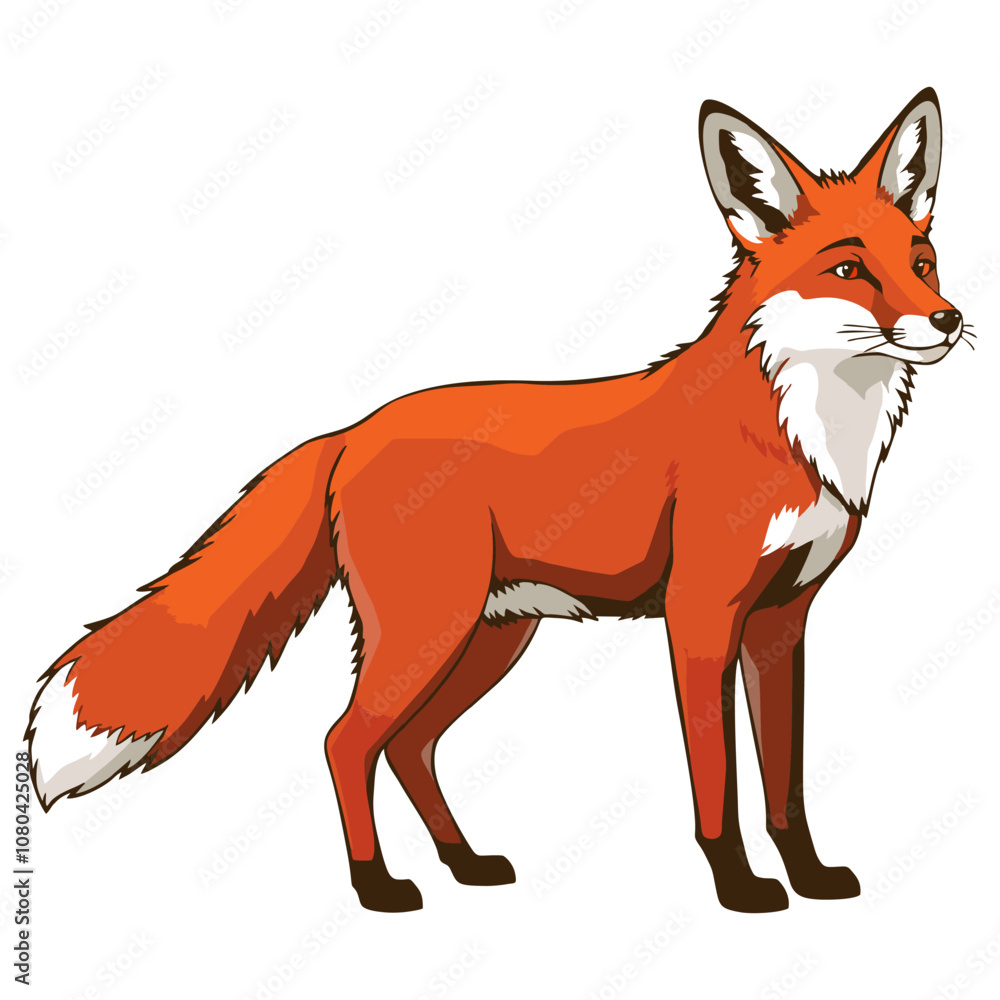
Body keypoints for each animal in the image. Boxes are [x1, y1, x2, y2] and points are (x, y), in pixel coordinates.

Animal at [26, 88, 970, 914]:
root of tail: (351, 430)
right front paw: (738, 888)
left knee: (408, 747)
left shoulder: (782, 622)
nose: (950, 319)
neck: (805, 433)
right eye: (849, 269)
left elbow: (785, 783)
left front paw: (809, 877)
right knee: (346, 741)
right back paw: (378, 888)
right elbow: (718, 782)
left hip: (487, 639)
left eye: (922, 265)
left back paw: (464, 863)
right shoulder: (701, 615)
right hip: (430, 632)